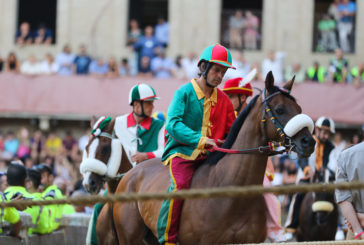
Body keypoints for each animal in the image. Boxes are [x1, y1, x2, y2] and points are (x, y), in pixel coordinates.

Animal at [108, 72, 316, 244]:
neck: (231, 193)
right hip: (129, 237)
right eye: (279, 109)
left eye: (298, 108)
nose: (309, 142)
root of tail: (131, 173)